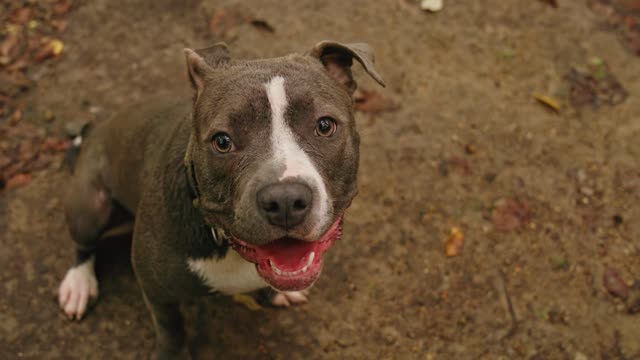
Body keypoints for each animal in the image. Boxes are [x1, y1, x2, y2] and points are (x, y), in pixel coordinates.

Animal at [56, 40, 384, 358]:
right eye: (223, 141)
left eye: (325, 125)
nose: (285, 200)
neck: (227, 245)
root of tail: (95, 131)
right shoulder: (156, 292)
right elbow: (172, 331)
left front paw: (277, 293)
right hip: (90, 206)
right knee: (83, 245)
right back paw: (79, 283)